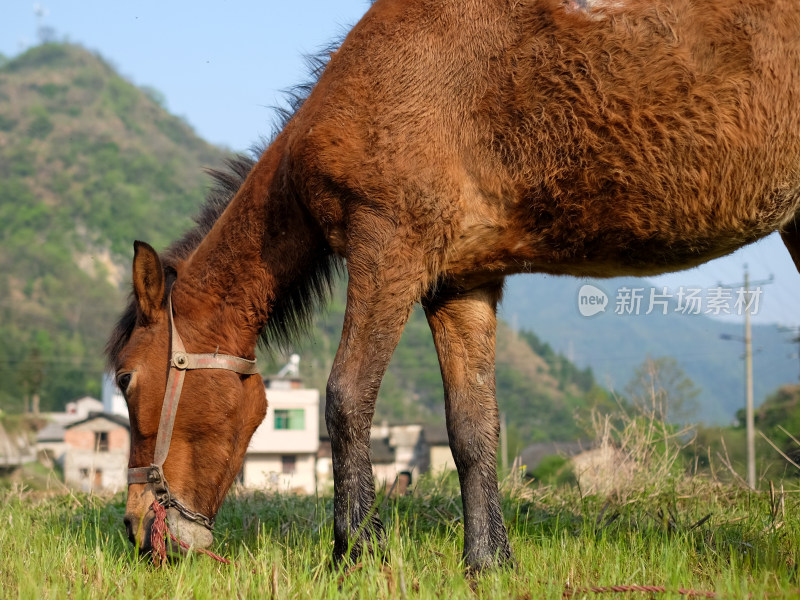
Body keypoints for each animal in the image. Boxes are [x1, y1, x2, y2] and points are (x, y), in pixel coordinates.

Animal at [109, 0, 800, 572]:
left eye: (125, 379)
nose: (136, 528)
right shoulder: (461, 284)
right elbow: (473, 426)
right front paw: (488, 562)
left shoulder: (389, 251)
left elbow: (346, 397)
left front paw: (355, 551)